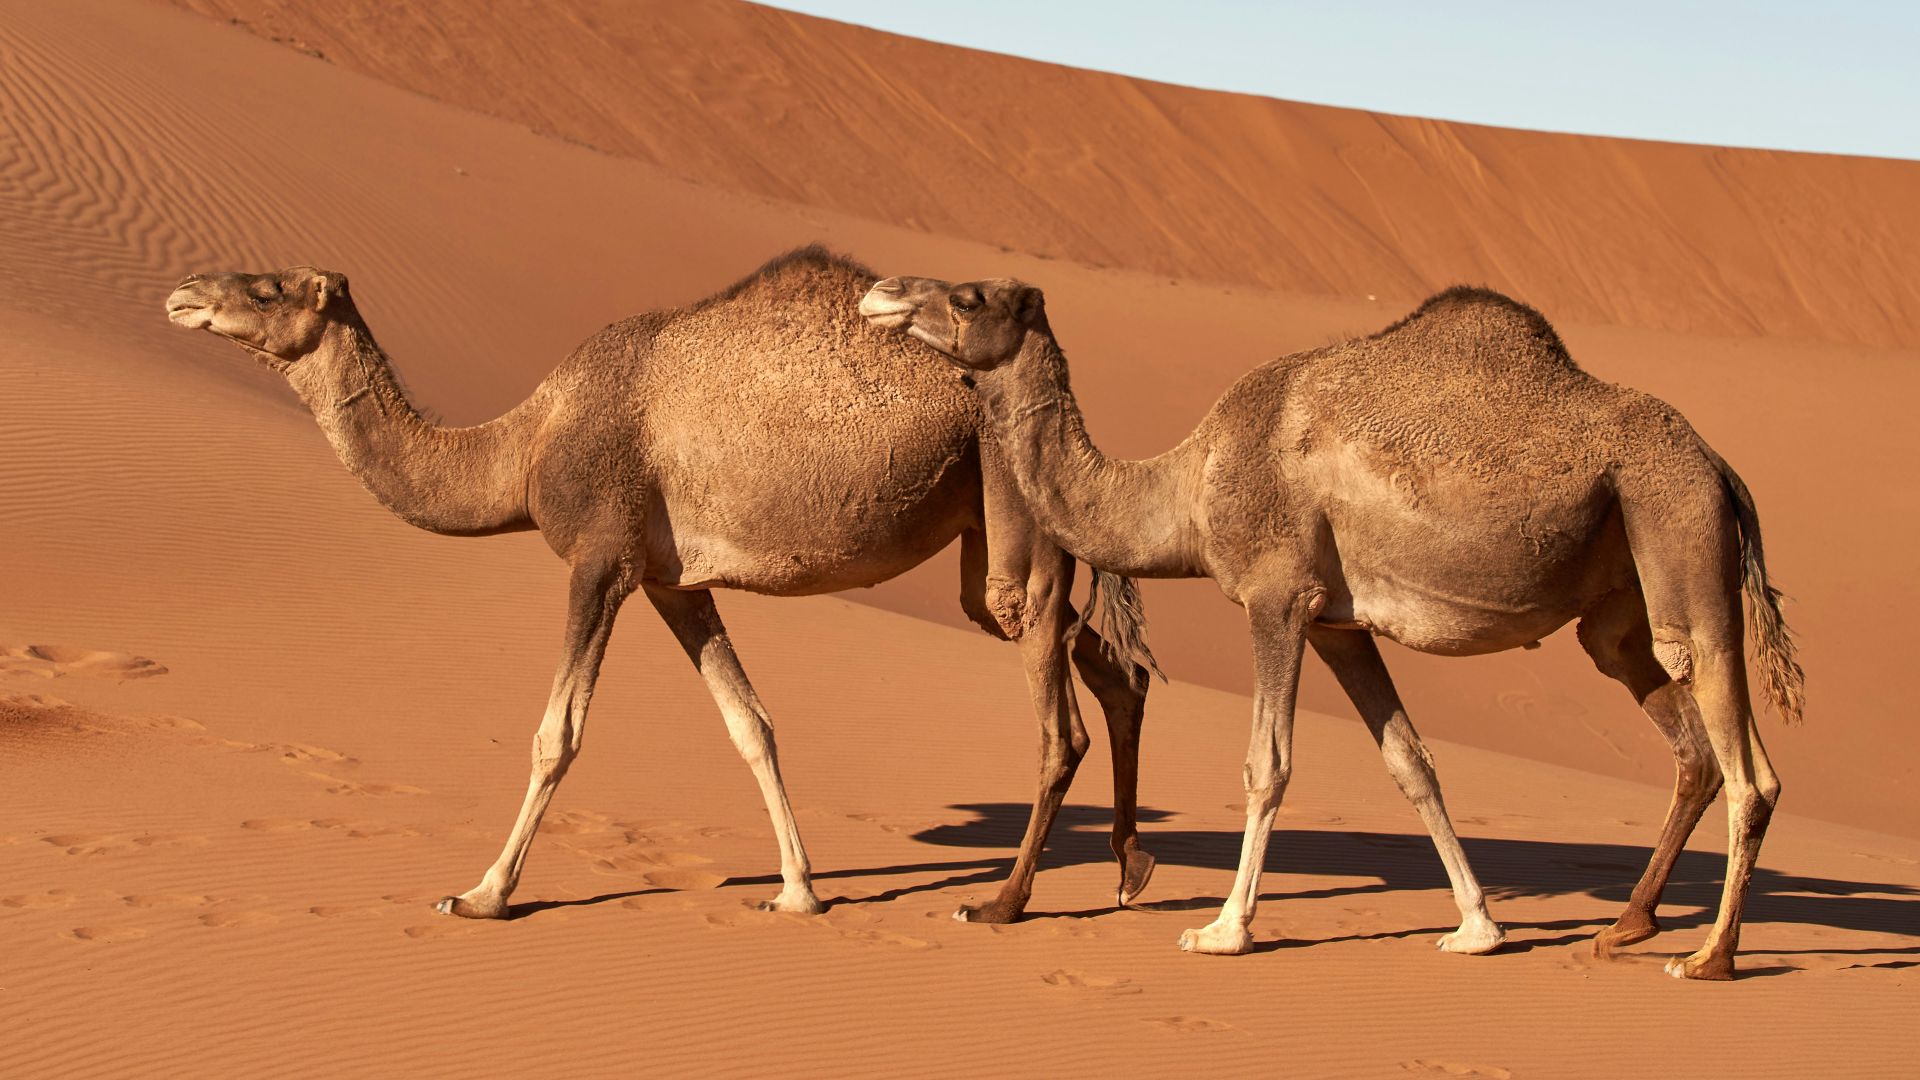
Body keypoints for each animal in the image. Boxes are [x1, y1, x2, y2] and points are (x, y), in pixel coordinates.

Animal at [162, 247, 1162, 924]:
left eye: (267, 288)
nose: (184, 292)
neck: (524, 445)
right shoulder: (671, 580)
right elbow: (749, 723)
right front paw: (799, 891)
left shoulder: (600, 556)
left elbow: (556, 734)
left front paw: (483, 892)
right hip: (984, 539)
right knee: (1112, 666)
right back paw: (1129, 869)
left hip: (1014, 520)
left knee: (1057, 711)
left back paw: (1007, 902)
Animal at [860, 274, 1804, 980]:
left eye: (969, 295)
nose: (881, 293)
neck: (1188, 485)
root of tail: (1722, 469)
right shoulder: (1337, 622)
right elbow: (1411, 763)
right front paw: (1477, 927)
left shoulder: (1276, 596)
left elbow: (1266, 763)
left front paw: (1223, 930)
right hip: (1621, 606)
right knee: (1684, 740)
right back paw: (1627, 926)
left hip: (1677, 529)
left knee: (1747, 763)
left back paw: (1711, 957)